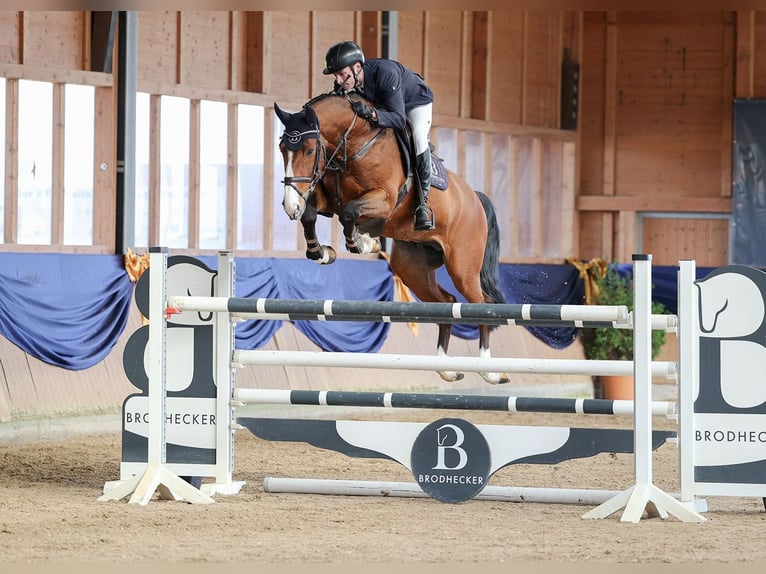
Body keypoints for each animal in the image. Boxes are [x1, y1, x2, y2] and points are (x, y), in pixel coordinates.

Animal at [274, 92, 509, 385]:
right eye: (282, 148)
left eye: (308, 150)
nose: (288, 206)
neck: (355, 142)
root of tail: (474, 198)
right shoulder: (329, 199)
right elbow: (312, 214)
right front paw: (323, 252)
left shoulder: (384, 200)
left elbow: (350, 213)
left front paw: (363, 242)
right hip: (412, 269)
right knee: (447, 302)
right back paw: (446, 368)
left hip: (462, 267)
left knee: (481, 304)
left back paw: (490, 371)